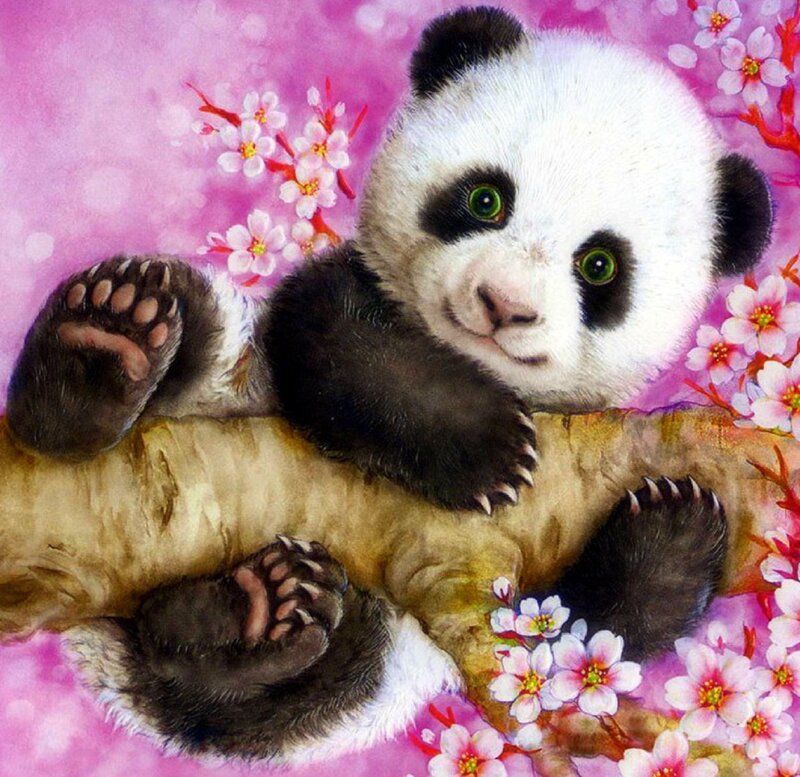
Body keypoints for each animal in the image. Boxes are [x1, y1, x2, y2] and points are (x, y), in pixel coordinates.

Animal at [5, 6, 773, 764]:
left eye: (600, 265)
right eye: (486, 198)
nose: (502, 304)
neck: (466, 361)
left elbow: (567, 642)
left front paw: (675, 529)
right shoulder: (331, 304)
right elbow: (341, 343)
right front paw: (488, 453)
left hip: (367, 656)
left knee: (267, 691)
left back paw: (254, 610)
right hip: (227, 369)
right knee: (194, 321)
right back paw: (100, 348)